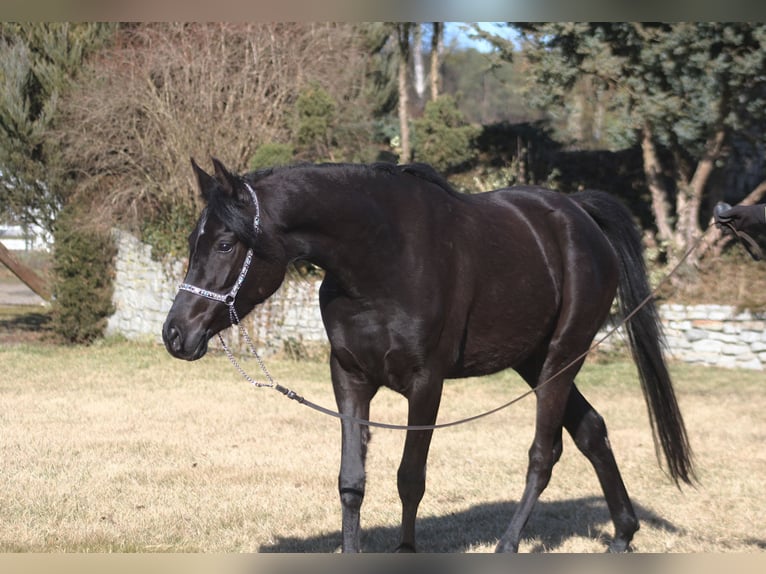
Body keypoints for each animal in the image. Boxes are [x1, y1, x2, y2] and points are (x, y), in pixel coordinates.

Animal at [162, 158, 694, 553]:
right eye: (193, 242)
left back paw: (508, 546)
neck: (382, 257)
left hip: (563, 356)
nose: (175, 333)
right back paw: (623, 534)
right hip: (533, 360)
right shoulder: (349, 377)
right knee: (591, 431)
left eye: (226, 243)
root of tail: (580, 215)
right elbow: (352, 480)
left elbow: (409, 478)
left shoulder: (426, 384)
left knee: (545, 453)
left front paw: (406, 550)